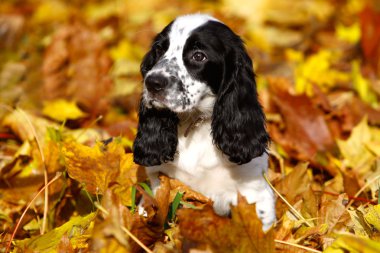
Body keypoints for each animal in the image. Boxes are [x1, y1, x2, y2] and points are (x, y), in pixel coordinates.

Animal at [134, 13, 276, 231]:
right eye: (159, 50)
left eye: (199, 56)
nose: (152, 83)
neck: (195, 123)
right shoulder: (159, 184)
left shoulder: (253, 191)